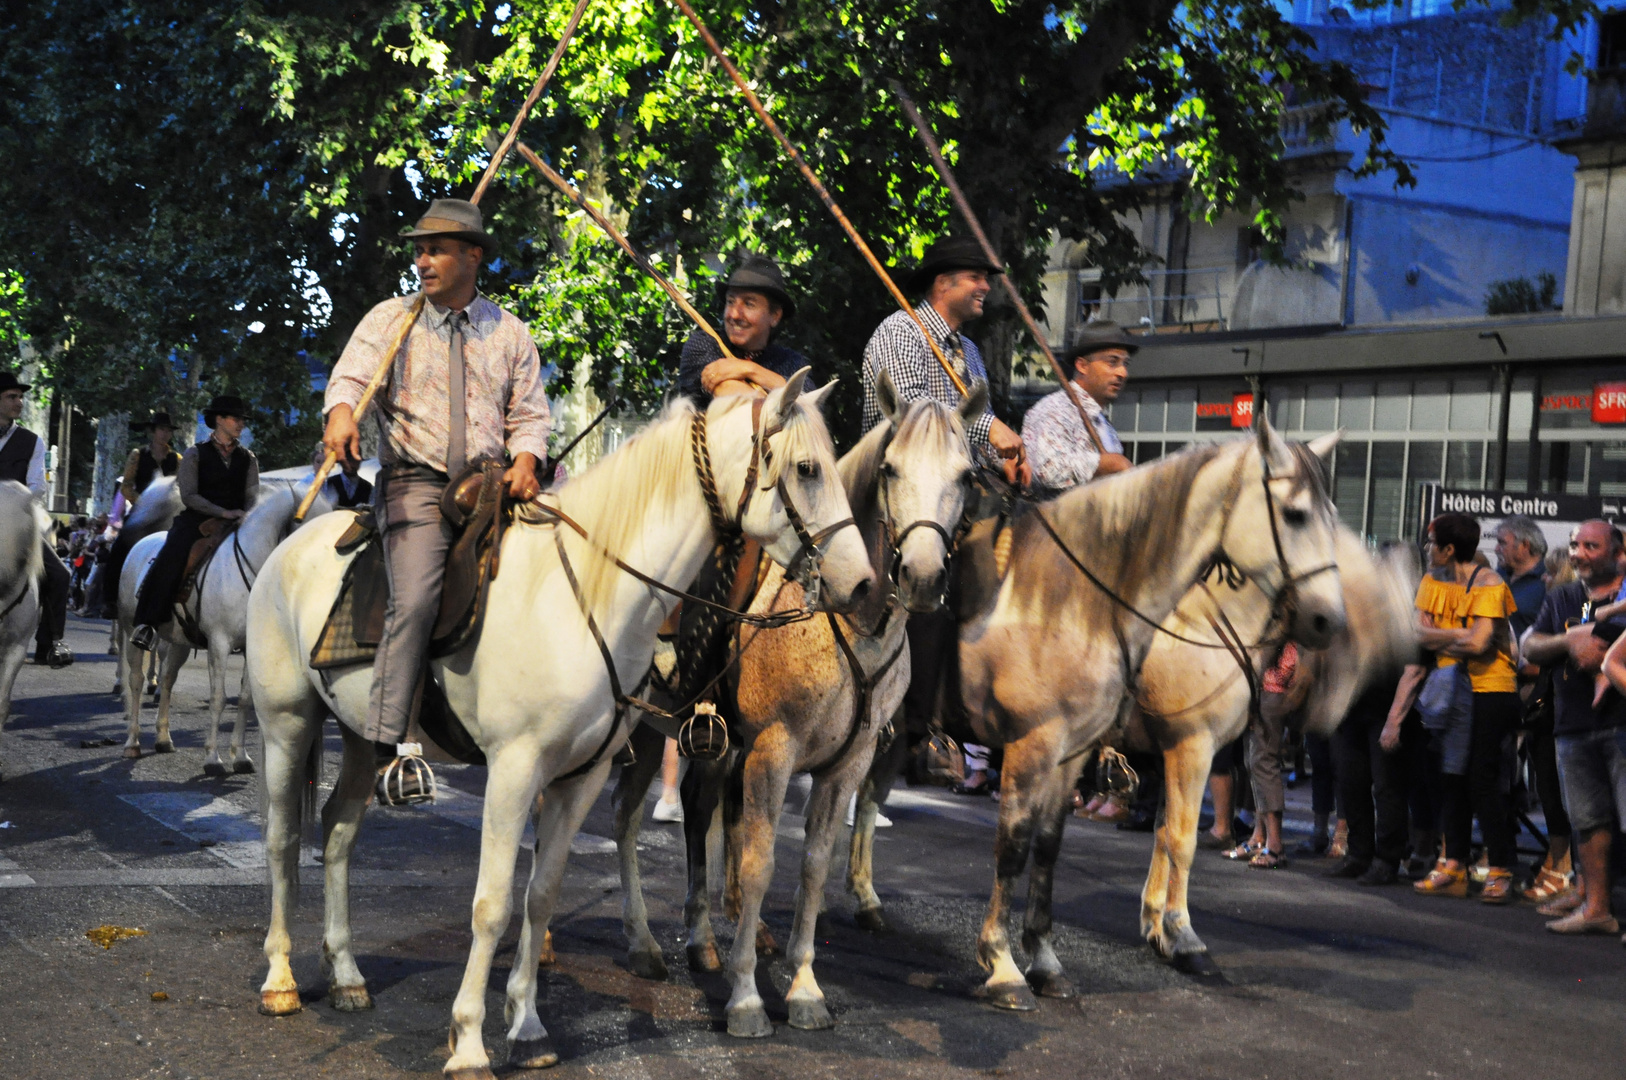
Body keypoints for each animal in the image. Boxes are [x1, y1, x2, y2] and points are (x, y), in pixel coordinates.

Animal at [116, 484, 328, 770]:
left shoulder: (250, 647)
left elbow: (245, 699)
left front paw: (240, 756)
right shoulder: (219, 643)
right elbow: (218, 698)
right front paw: (212, 758)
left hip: (179, 641)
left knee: (168, 680)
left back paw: (163, 738)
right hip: (131, 630)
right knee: (136, 680)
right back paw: (132, 742)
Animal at [247, 374, 878, 1080]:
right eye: (807, 469)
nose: (864, 587)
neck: (585, 598)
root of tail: (292, 540)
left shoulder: (581, 775)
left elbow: (541, 893)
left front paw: (527, 1027)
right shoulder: (513, 770)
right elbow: (492, 903)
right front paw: (470, 1042)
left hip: (361, 737)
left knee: (337, 833)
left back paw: (348, 975)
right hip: (287, 725)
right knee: (281, 839)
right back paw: (280, 980)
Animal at [604, 374, 969, 1040]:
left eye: (966, 475)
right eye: (891, 469)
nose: (924, 577)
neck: (847, 624)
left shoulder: (846, 764)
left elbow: (814, 866)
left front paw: (803, 986)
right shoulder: (772, 752)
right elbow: (757, 862)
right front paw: (747, 996)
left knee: (654, 813)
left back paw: (681, 941)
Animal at [949, 422, 1339, 1014]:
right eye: (1294, 514)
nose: (1326, 621)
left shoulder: (1175, 752)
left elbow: (1162, 832)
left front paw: (1157, 925)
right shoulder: (1191, 745)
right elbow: (1181, 839)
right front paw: (1182, 936)